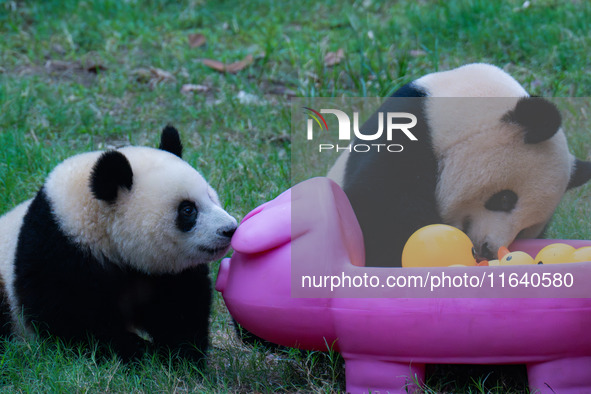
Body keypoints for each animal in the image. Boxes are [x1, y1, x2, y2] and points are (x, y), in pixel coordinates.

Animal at [0, 127, 238, 362]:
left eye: (210, 196)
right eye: (188, 210)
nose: (229, 229)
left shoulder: (161, 271)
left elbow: (179, 305)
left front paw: (181, 354)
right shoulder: (56, 250)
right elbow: (66, 318)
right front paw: (136, 351)